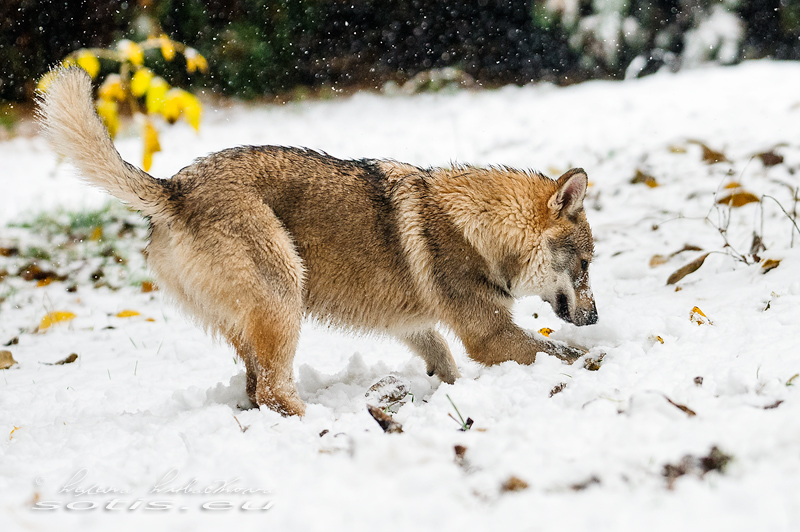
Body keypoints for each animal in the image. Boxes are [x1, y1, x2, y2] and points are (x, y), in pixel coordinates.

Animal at [40, 65, 596, 416]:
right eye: (587, 265)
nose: (595, 317)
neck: (479, 227)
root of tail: (174, 188)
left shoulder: (417, 326)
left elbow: (446, 361)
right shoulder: (489, 334)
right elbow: (559, 352)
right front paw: (599, 359)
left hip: (257, 321)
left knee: (256, 389)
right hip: (285, 295)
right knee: (271, 392)